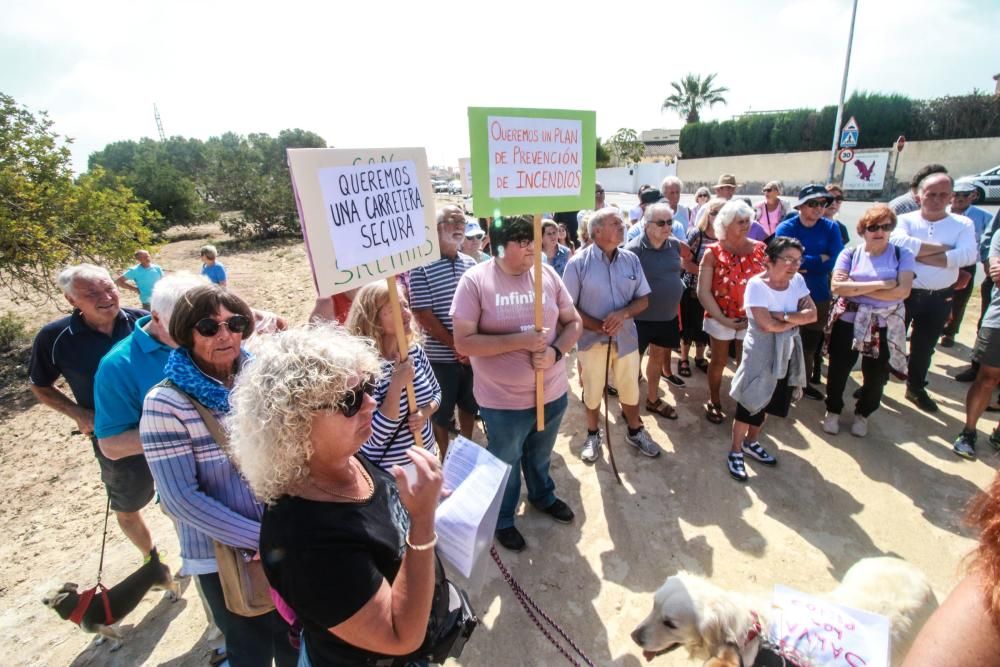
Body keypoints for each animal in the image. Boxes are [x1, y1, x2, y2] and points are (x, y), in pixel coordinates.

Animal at [42, 548, 180, 652]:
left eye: (46, 601)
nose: (42, 600)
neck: (78, 604)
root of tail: (153, 561)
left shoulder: (102, 628)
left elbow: (115, 637)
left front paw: (117, 645)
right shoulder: (103, 627)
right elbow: (103, 635)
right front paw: (100, 640)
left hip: (160, 583)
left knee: (175, 584)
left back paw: (177, 596)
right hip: (156, 586)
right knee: (170, 583)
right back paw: (170, 594)